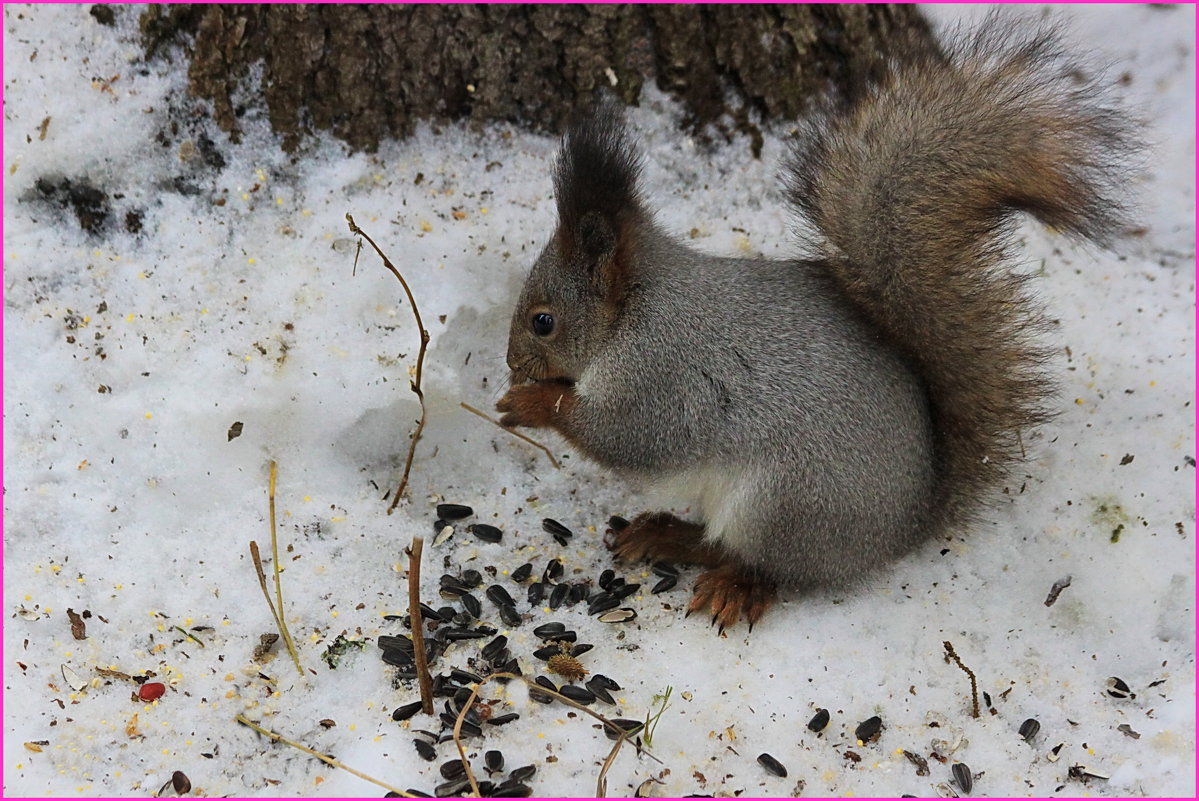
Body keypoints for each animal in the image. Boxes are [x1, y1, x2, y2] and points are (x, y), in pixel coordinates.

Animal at [493, 18, 1131, 628]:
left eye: (544, 321)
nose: (511, 362)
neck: (633, 312)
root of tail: (905, 525)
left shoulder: (663, 373)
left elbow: (629, 437)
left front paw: (532, 402)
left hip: (783, 504)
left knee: (769, 566)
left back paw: (735, 584)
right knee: (716, 543)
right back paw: (665, 534)